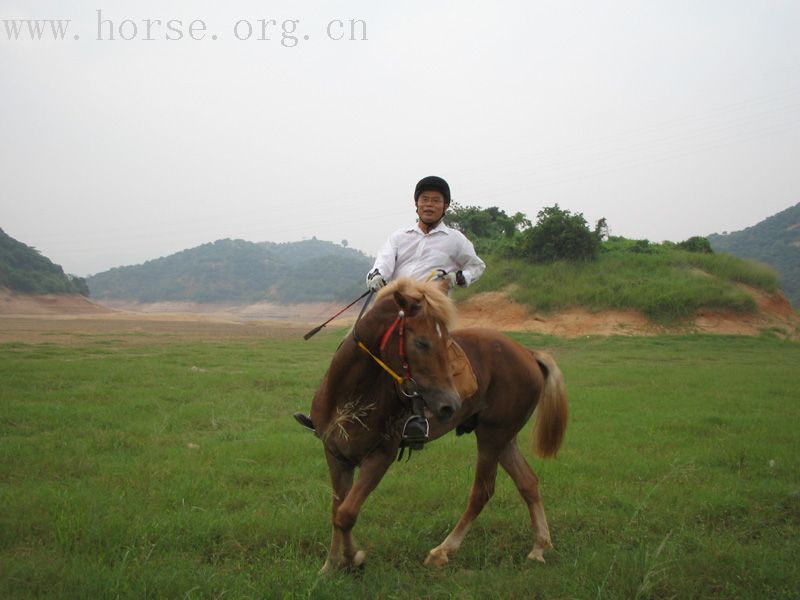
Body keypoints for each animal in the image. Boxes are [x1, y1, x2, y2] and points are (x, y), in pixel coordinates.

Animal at [308, 278, 568, 572]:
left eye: (445, 342)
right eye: (421, 342)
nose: (451, 404)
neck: (350, 395)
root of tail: (528, 352)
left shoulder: (379, 457)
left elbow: (347, 513)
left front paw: (354, 557)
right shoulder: (337, 455)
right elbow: (337, 511)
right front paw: (332, 564)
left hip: (492, 437)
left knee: (482, 492)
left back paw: (442, 551)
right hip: (504, 439)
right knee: (528, 483)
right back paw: (539, 547)